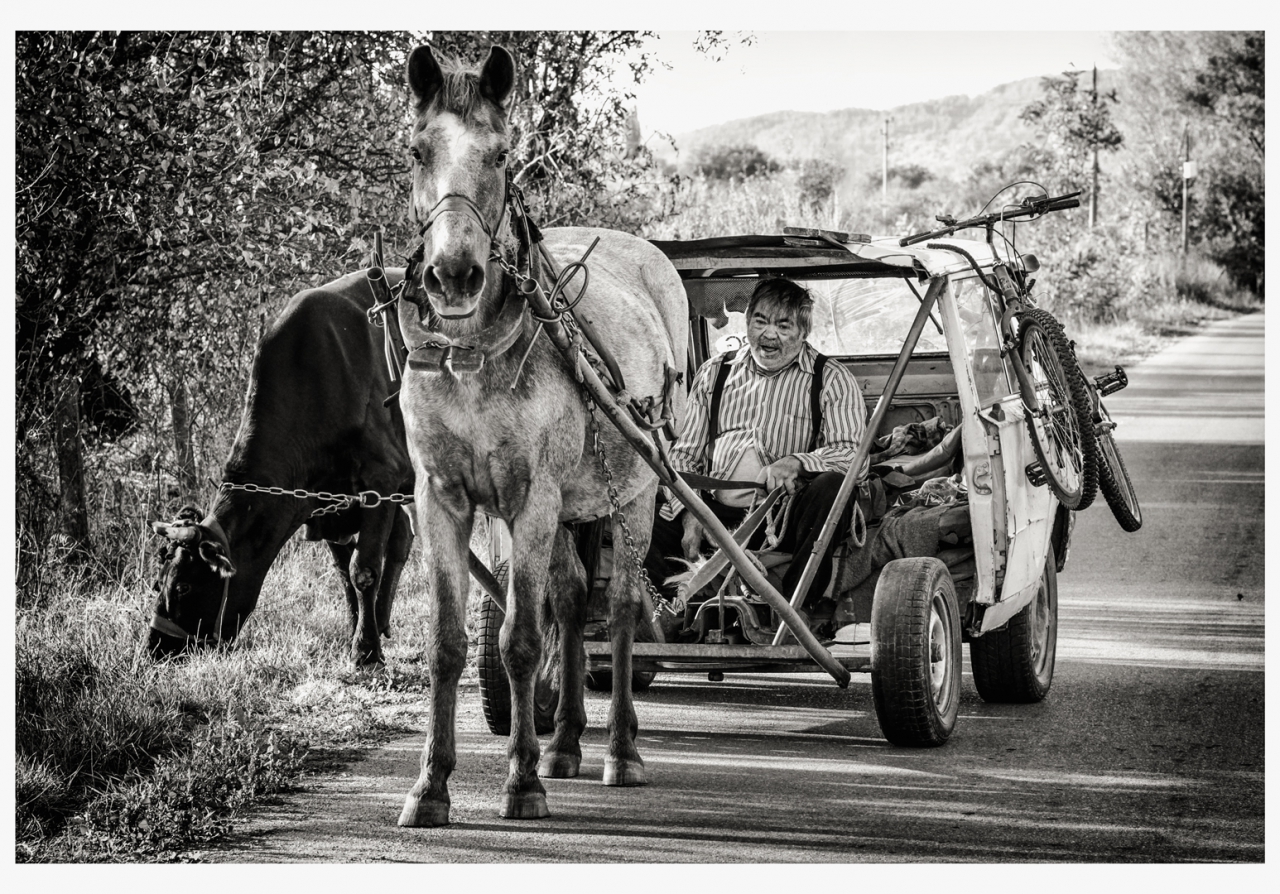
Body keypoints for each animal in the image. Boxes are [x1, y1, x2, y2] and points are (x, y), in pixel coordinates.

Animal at [149, 267, 412, 666]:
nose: (155, 648)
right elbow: (343, 571)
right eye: (157, 582)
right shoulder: (328, 506)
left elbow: (364, 569)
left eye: (183, 585)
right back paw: (380, 622)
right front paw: (357, 633)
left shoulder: (382, 479)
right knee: (401, 541)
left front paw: (366, 651)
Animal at [394, 43, 691, 819]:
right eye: (417, 150)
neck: (470, 355)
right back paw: (564, 742)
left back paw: (620, 749)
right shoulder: (440, 498)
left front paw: (521, 781)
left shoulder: (531, 500)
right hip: (571, 509)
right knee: (572, 598)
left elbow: (523, 640)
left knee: (618, 610)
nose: (454, 276)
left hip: (634, 494)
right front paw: (431, 784)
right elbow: (447, 642)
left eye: (501, 155)